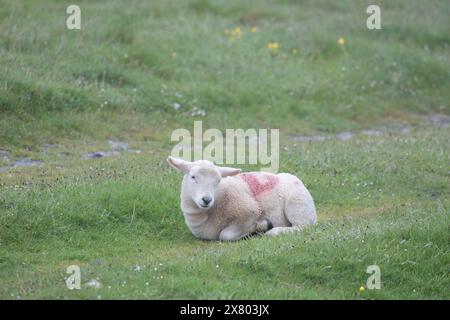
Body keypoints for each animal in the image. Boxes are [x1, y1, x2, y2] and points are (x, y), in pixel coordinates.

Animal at [167, 156, 318, 241]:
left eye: (218, 180)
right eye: (193, 177)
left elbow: (225, 235)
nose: (206, 199)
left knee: (303, 227)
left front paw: (259, 228)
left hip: (297, 204)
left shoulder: (249, 210)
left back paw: (274, 231)